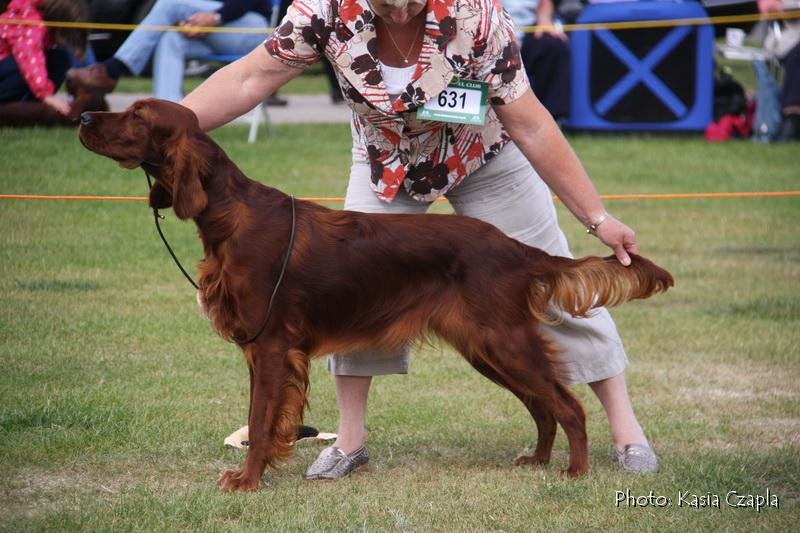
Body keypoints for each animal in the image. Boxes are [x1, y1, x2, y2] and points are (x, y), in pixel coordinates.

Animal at [78, 98, 672, 490]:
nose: (83, 117)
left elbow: (261, 418)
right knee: (543, 405)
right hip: (486, 348)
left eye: (137, 114)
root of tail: (514, 247)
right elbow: (261, 418)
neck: (229, 216)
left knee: (568, 404)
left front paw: (246, 480)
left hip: (502, 341)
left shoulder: (270, 346)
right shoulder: (260, 350)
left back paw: (574, 471)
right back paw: (539, 460)